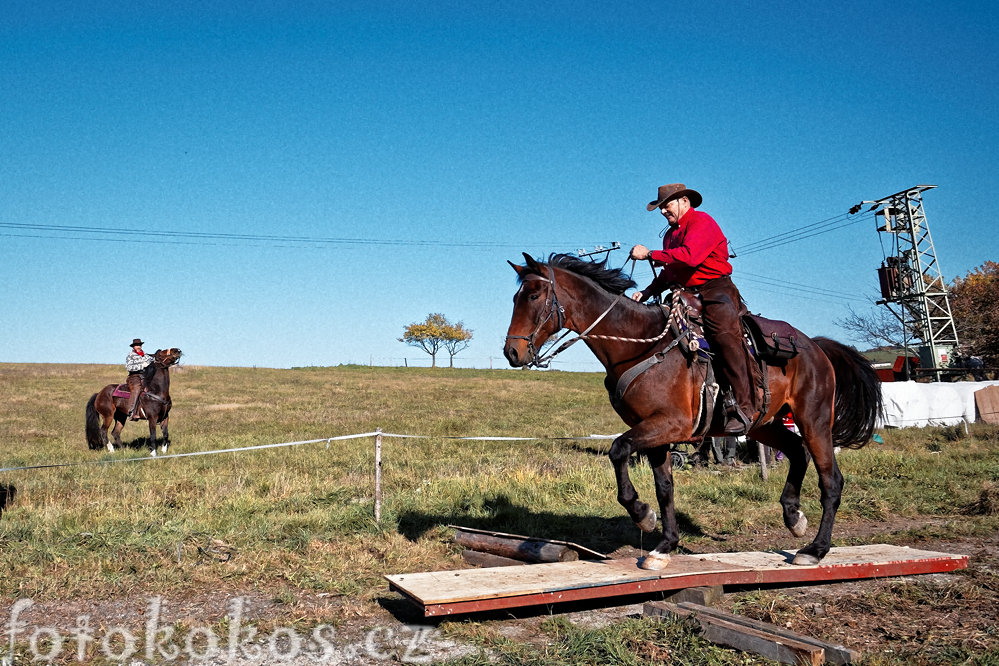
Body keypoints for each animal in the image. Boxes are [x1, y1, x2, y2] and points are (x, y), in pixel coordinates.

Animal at [504, 254, 880, 572]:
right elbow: (664, 487)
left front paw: (642, 515)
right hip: (764, 425)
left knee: (831, 479)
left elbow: (618, 449)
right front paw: (664, 545)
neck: (641, 345)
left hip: (814, 420)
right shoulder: (653, 430)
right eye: (515, 297)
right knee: (797, 452)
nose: (512, 352)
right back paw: (793, 517)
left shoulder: (672, 425)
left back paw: (815, 549)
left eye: (534, 295)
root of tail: (817, 347)